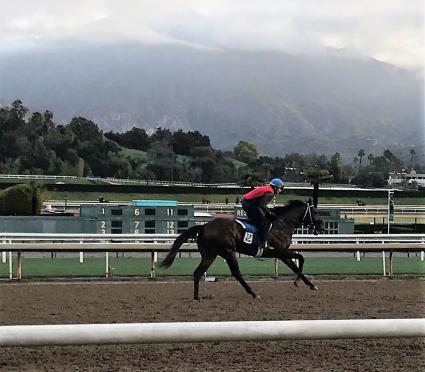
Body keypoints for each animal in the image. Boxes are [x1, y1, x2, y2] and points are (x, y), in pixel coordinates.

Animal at [161, 199, 322, 300]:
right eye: (315, 212)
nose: (321, 225)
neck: (282, 224)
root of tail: (204, 226)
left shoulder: (281, 254)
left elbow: (295, 266)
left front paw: (311, 285)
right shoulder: (278, 250)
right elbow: (301, 258)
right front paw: (298, 282)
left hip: (210, 254)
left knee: (197, 273)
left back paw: (196, 297)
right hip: (228, 251)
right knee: (236, 273)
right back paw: (254, 293)